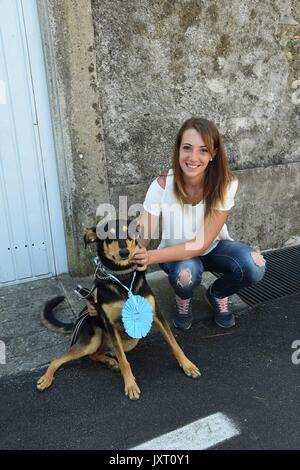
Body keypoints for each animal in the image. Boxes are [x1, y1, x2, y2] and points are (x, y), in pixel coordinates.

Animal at [38, 218, 202, 398]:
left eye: (129, 232)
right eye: (108, 235)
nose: (124, 252)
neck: (123, 276)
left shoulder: (156, 314)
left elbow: (174, 344)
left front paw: (187, 365)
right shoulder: (110, 325)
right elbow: (124, 361)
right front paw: (130, 385)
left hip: (130, 341)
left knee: (100, 354)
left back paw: (111, 361)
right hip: (92, 341)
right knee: (61, 359)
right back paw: (46, 379)